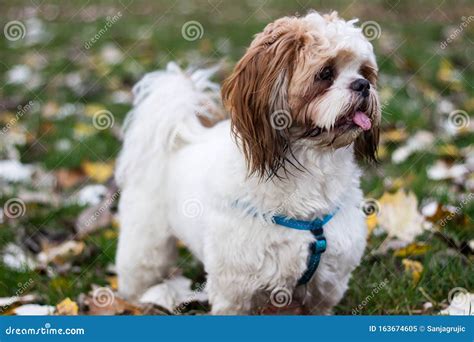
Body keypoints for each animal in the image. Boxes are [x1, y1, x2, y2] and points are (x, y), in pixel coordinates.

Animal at [115, 10, 382, 316]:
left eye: (364, 72)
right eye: (325, 74)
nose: (363, 85)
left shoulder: (325, 286)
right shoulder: (235, 289)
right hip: (146, 245)